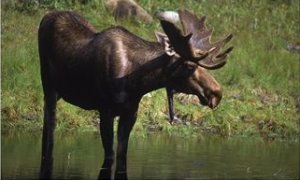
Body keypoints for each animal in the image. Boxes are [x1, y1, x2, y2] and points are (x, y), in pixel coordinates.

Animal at [38, 9, 233, 179]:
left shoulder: (131, 112)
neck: (138, 82)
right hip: (48, 86)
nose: (217, 93)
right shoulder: (105, 110)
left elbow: (122, 154)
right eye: (190, 66)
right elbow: (110, 154)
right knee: (50, 128)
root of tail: (46, 16)